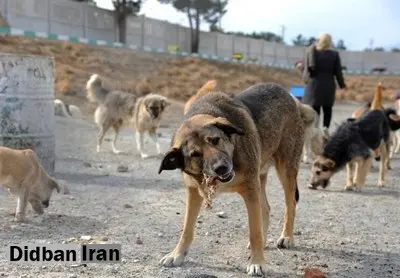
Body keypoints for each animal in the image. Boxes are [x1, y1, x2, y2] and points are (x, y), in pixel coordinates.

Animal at [158, 82, 308, 276]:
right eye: (195, 154)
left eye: (215, 140)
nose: (221, 167)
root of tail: (288, 94)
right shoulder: (194, 192)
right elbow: (187, 229)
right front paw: (177, 254)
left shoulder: (250, 189)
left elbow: (254, 231)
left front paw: (257, 262)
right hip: (260, 177)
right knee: (265, 208)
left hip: (286, 169)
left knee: (290, 204)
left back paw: (287, 237)